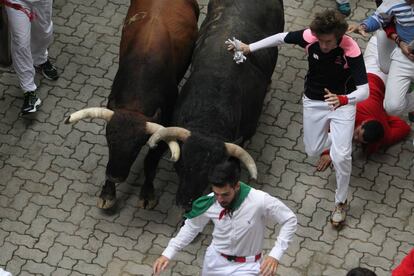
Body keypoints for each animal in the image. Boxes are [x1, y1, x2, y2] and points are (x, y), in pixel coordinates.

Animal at [64, 0, 199, 208]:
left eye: (136, 147)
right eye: (110, 141)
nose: (115, 176)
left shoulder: (166, 123)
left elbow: (150, 162)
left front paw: (147, 194)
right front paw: (107, 193)